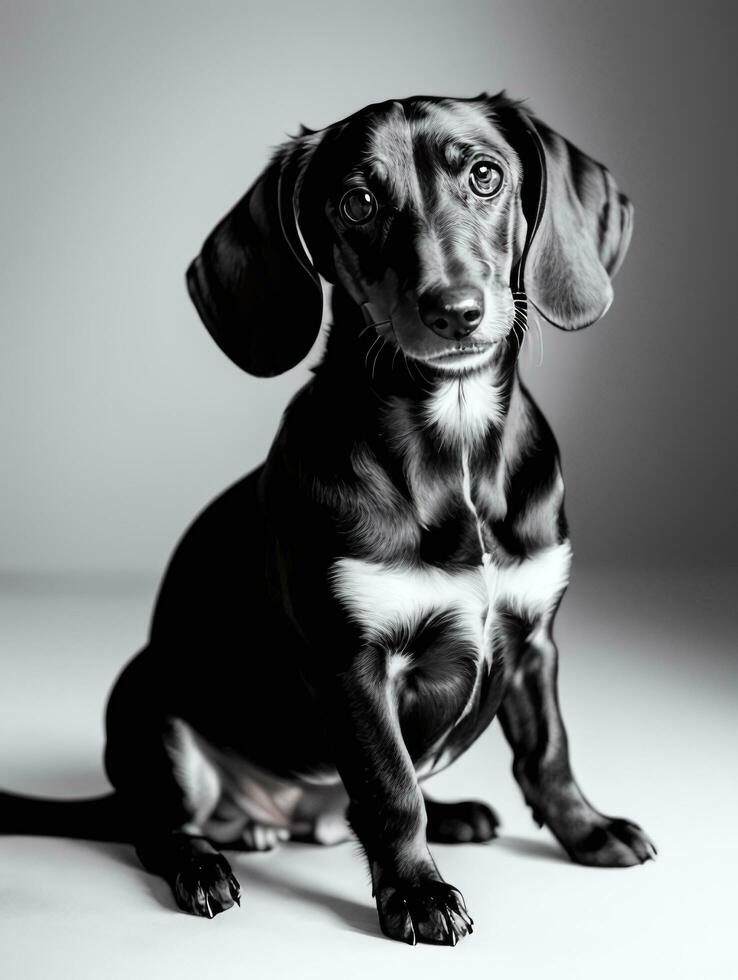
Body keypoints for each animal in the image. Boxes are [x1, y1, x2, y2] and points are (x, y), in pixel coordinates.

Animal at [1, 95, 656, 944]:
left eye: (485, 176)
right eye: (357, 202)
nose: (455, 312)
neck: (454, 450)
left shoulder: (536, 639)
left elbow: (548, 755)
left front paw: (589, 831)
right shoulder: (352, 663)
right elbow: (389, 789)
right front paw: (416, 893)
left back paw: (450, 813)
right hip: (148, 707)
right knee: (160, 825)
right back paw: (202, 866)